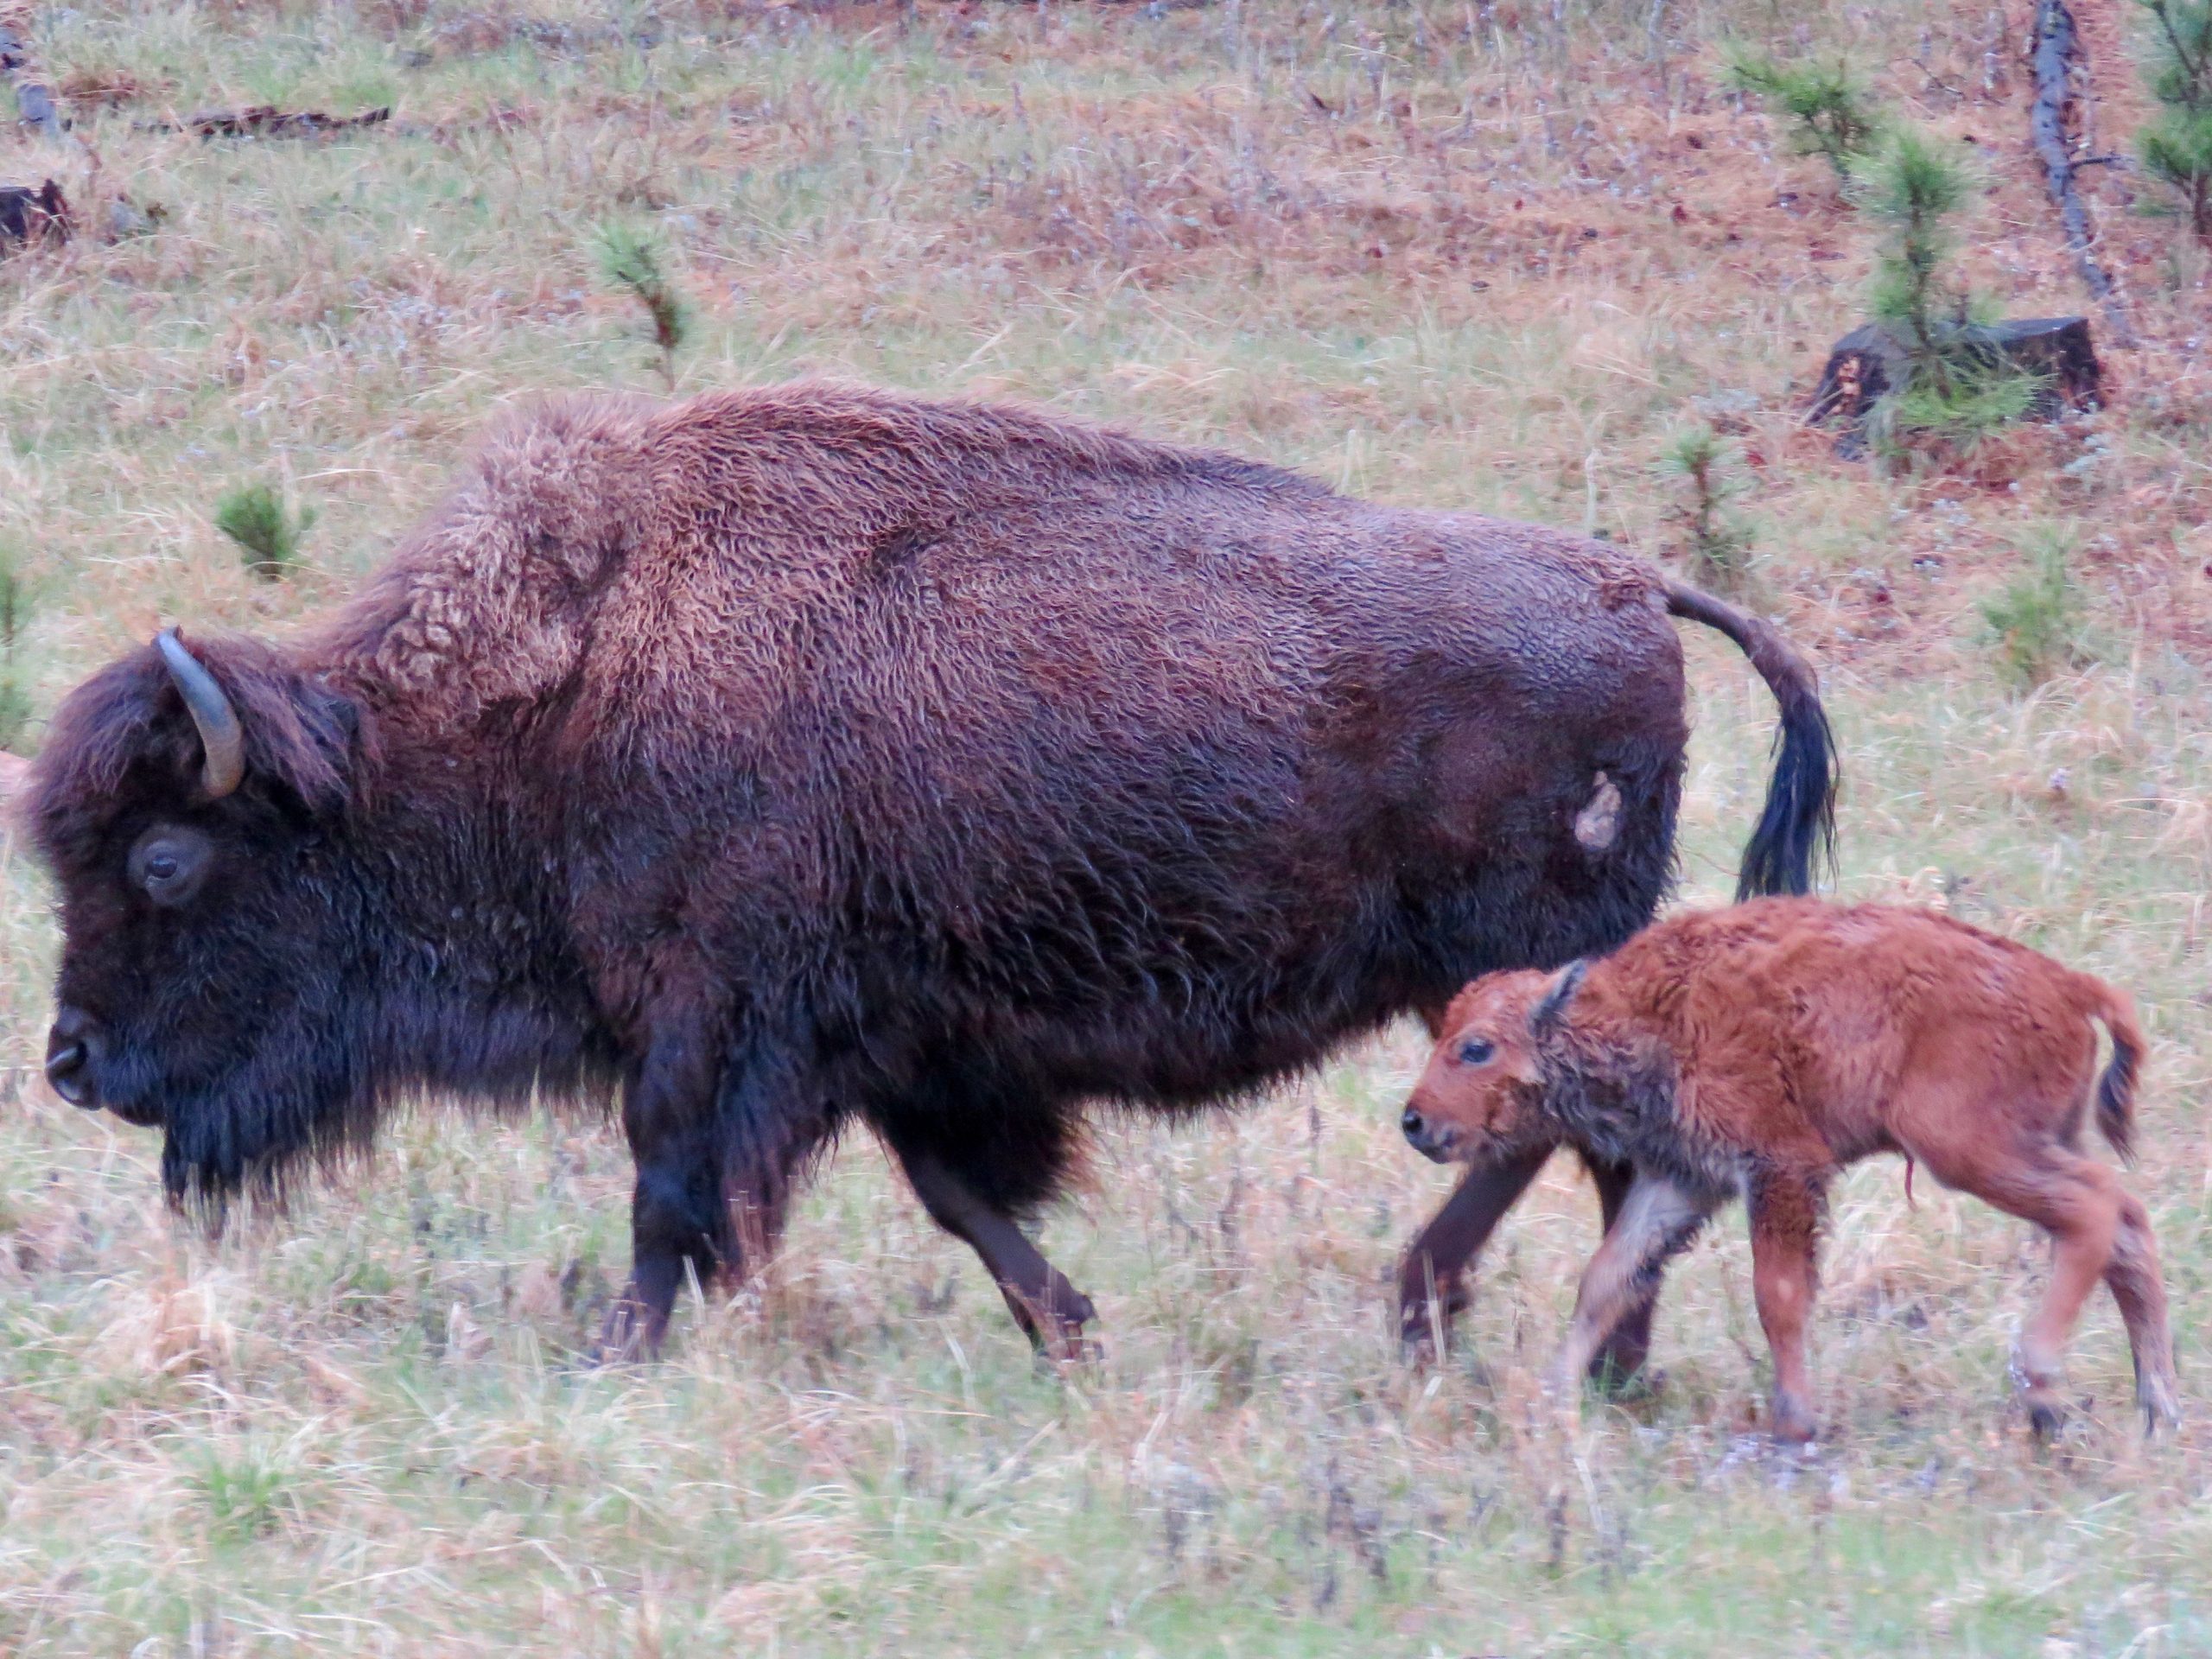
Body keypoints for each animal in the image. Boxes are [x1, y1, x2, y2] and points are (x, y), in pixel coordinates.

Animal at [21, 384, 1834, 1359]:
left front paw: (620, 1350)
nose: (70, 1063)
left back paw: (1438, 1314)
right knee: (1605, 1167)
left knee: (1559, 1144)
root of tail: (1634, 589)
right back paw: (1594, 1361)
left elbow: (673, 1188)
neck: (571, 679)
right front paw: (1071, 1329)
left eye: (166, 858)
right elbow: (957, 1196)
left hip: (1515, 967)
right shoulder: (895, 1039)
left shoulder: (712, 1021)